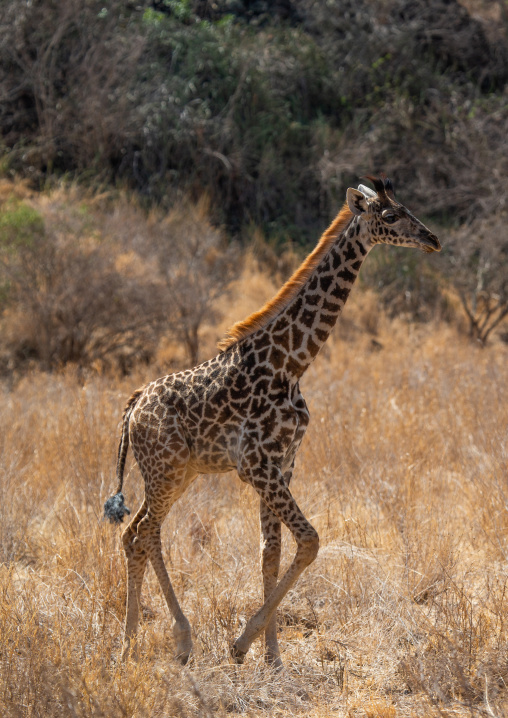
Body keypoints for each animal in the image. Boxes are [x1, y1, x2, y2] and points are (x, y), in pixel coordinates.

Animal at [104, 176, 441, 667]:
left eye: (408, 208)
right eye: (391, 215)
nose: (432, 239)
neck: (292, 364)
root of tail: (132, 407)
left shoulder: (283, 463)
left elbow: (272, 552)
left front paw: (273, 659)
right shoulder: (257, 465)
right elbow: (310, 541)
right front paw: (242, 644)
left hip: (177, 473)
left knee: (134, 535)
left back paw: (128, 645)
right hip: (164, 471)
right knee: (147, 533)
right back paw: (179, 640)